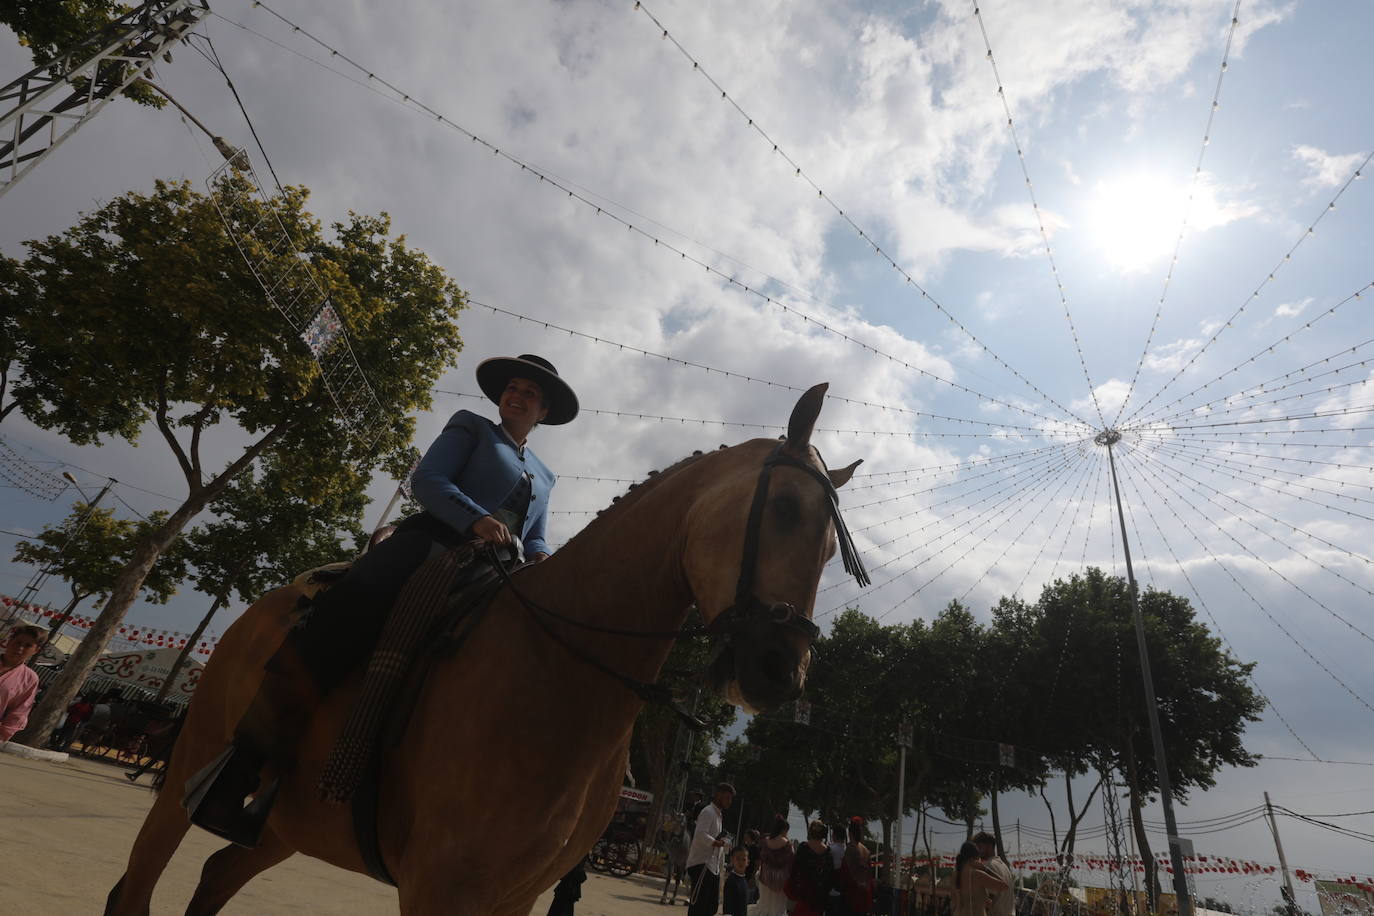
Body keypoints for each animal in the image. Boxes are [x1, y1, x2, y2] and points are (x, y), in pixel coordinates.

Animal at [107, 384, 862, 916]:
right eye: (786, 511)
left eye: (833, 548)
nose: (782, 672)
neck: (559, 671)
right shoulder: (443, 888)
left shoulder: (513, 896)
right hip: (187, 774)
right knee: (134, 891)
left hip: (283, 826)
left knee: (214, 879)